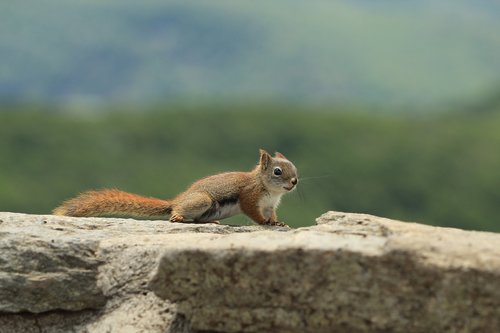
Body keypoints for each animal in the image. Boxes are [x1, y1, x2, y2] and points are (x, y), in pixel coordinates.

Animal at [53, 149, 298, 227]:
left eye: (294, 167)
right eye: (277, 171)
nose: (294, 181)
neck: (269, 190)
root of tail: (176, 201)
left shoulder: (270, 205)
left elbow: (272, 214)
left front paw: (277, 222)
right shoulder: (250, 196)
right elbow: (253, 213)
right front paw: (265, 223)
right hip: (202, 200)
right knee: (179, 213)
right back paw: (178, 216)